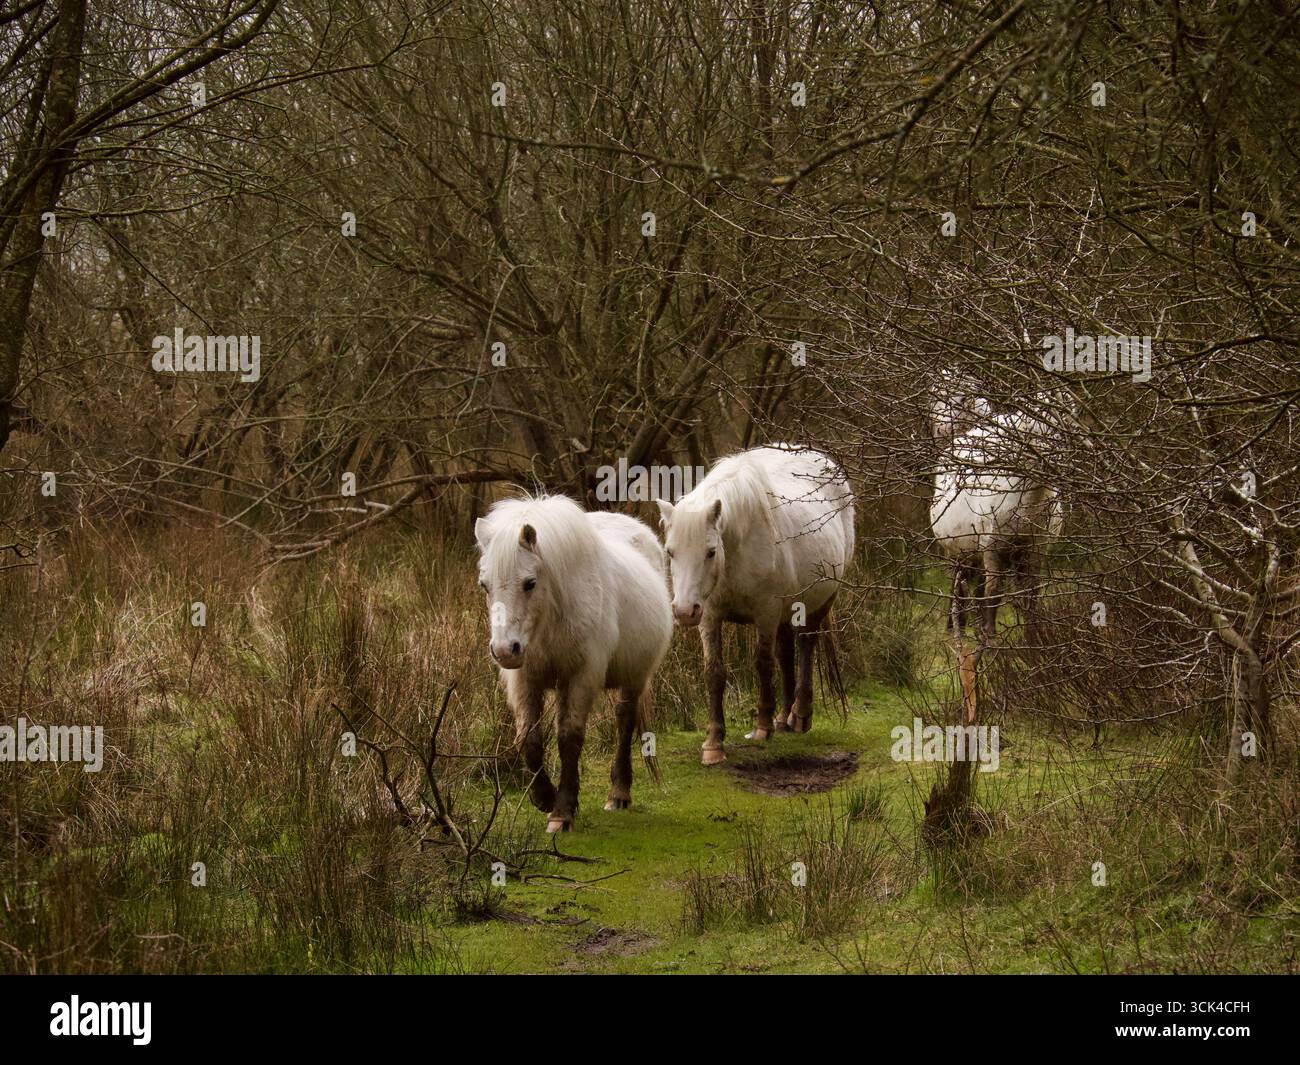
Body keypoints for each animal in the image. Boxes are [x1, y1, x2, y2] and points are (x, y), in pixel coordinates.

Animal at [474, 494, 672, 832]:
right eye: (485, 585)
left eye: (530, 583)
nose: (504, 651)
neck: (550, 618)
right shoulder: (526, 681)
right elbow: (528, 738)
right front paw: (545, 797)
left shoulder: (580, 677)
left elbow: (569, 738)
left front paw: (562, 811)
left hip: (634, 677)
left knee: (624, 720)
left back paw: (618, 793)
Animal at [656, 445, 855, 765]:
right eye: (671, 552)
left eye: (710, 552)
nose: (684, 611)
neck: (738, 544)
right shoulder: (710, 617)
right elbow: (714, 673)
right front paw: (714, 743)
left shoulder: (766, 614)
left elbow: (762, 664)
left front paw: (762, 726)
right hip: (788, 611)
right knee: (786, 652)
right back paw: (784, 718)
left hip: (822, 600)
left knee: (806, 645)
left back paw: (800, 715)